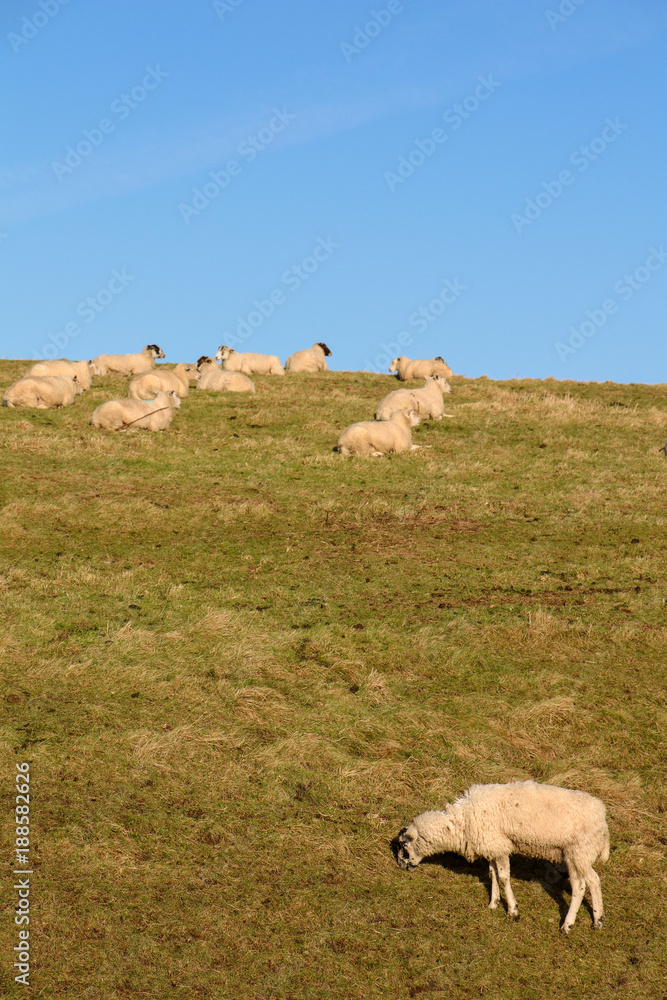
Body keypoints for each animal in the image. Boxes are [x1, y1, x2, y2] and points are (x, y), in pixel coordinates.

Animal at [396, 780, 610, 935]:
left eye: (404, 846)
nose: (402, 865)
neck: (460, 821)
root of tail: (603, 822)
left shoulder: (500, 847)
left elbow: (505, 877)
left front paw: (512, 910)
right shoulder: (491, 846)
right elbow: (493, 875)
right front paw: (493, 903)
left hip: (577, 852)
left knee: (579, 887)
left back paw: (567, 926)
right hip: (583, 855)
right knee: (594, 879)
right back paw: (598, 920)